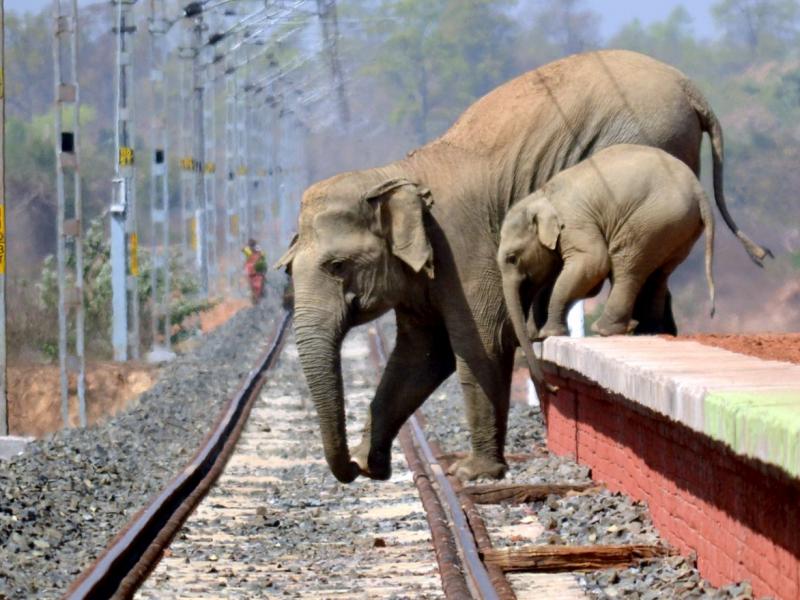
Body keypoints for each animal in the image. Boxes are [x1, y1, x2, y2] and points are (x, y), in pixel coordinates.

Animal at [496, 144, 716, 378]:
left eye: (512, 258)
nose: (526, 342)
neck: (541, 196)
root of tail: (699, 190)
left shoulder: (575, 224)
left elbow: (594, 264)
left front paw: (549, 332)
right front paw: (540, 333)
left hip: (652, 220)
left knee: (626, 265)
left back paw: (605, 330)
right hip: (678, 228)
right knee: (659, 274)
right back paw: (646, 330)